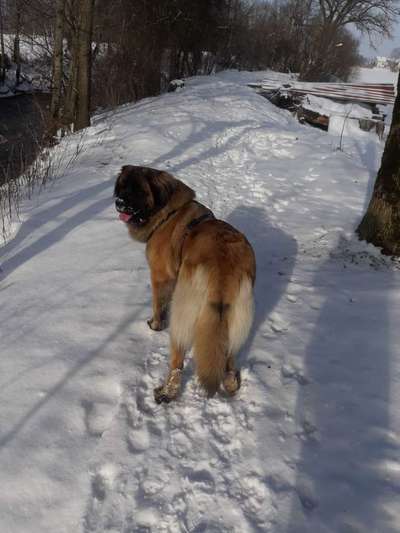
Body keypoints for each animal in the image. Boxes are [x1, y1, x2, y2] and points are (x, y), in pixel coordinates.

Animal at [114, 164, 256, 402]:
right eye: (122, 186)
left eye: (137, 190)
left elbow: (157, 304)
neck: (167, 214)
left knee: (177, 359)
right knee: (228, 355)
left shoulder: (160, 277)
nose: (119, 202)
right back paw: (231, 383)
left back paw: (167, 392)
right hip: (234, 315)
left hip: (185, 309)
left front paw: (155, 325)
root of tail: (223, 266)